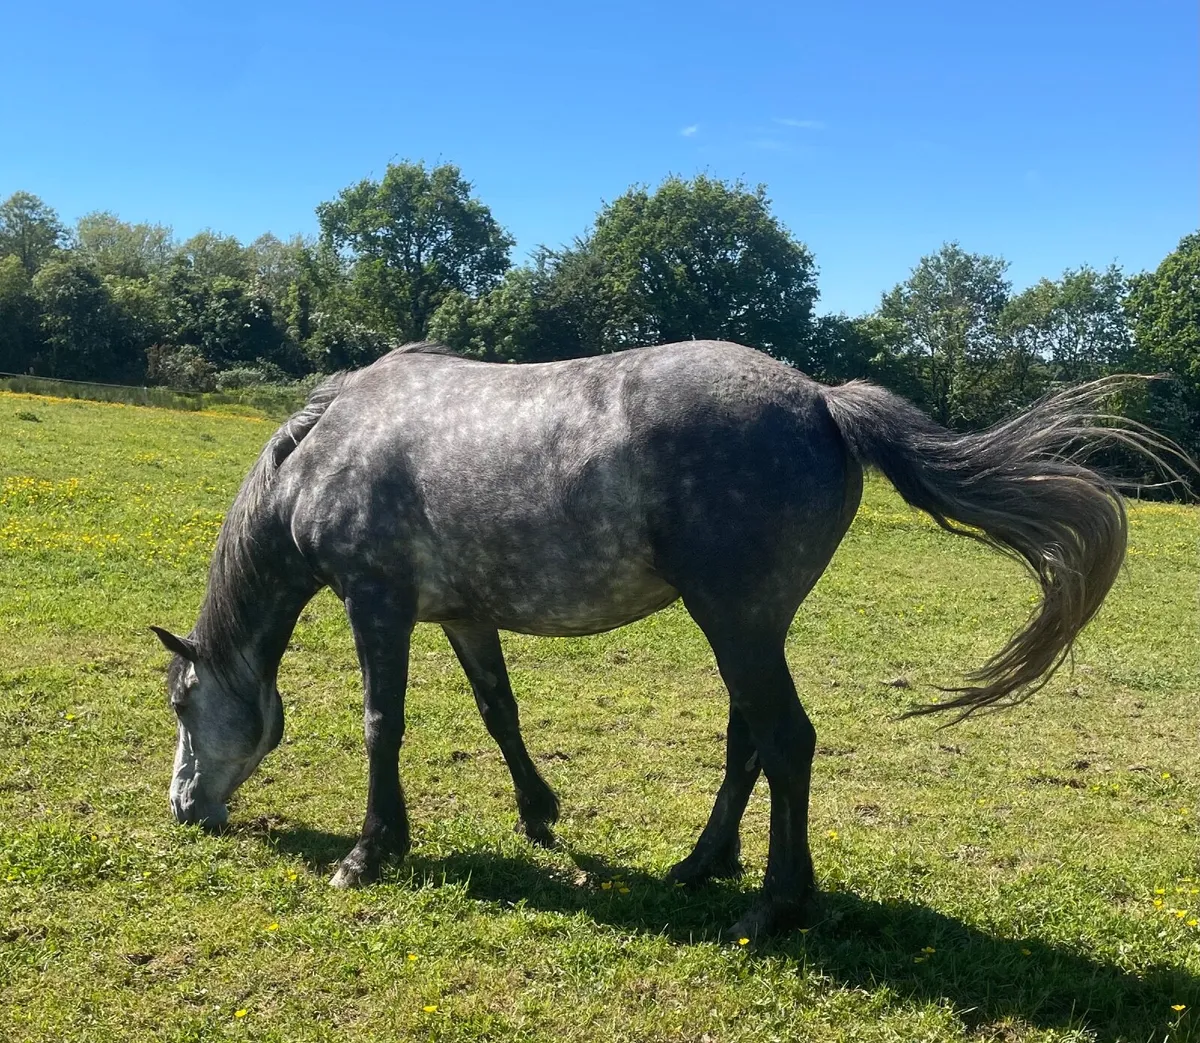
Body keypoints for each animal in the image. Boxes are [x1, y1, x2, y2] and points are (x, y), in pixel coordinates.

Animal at [151, 340, 1151, 939]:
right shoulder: (466, 614)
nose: (184, 808)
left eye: (182, 703)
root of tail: (822, 400)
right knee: (750, 741)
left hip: (737, 620)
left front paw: (369, 851)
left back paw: (773, 907)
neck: (324, 447)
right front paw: (539, 815)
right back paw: (703, 866)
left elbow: (380, 726)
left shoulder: (377, 603)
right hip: (748, 625)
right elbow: (499, 710)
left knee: (786, 740)